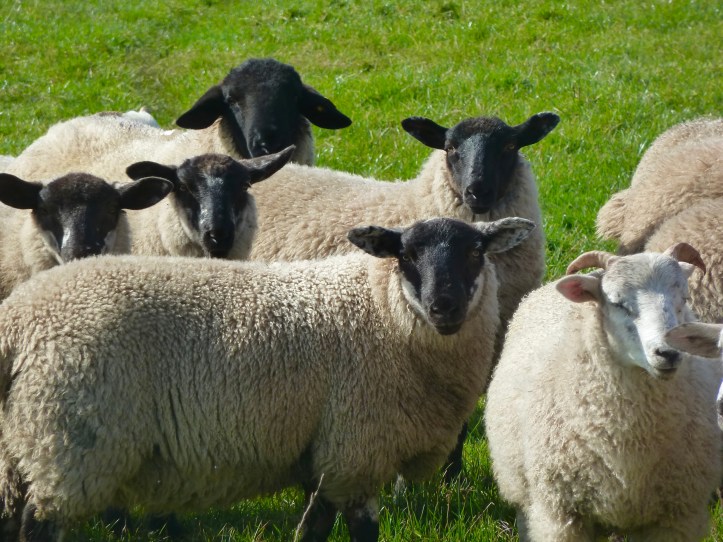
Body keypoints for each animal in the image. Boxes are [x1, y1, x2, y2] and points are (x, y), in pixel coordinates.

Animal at [0, 216, 535, 542]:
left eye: (475, 253)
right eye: (405, 256)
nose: (445, 307)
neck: (382, 308)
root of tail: (20, 318)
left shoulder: (328, 455)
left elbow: (312, 527)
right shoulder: (357, 449)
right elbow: (361, 531)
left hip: (23, 449)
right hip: (70, 447)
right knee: (39, 525)